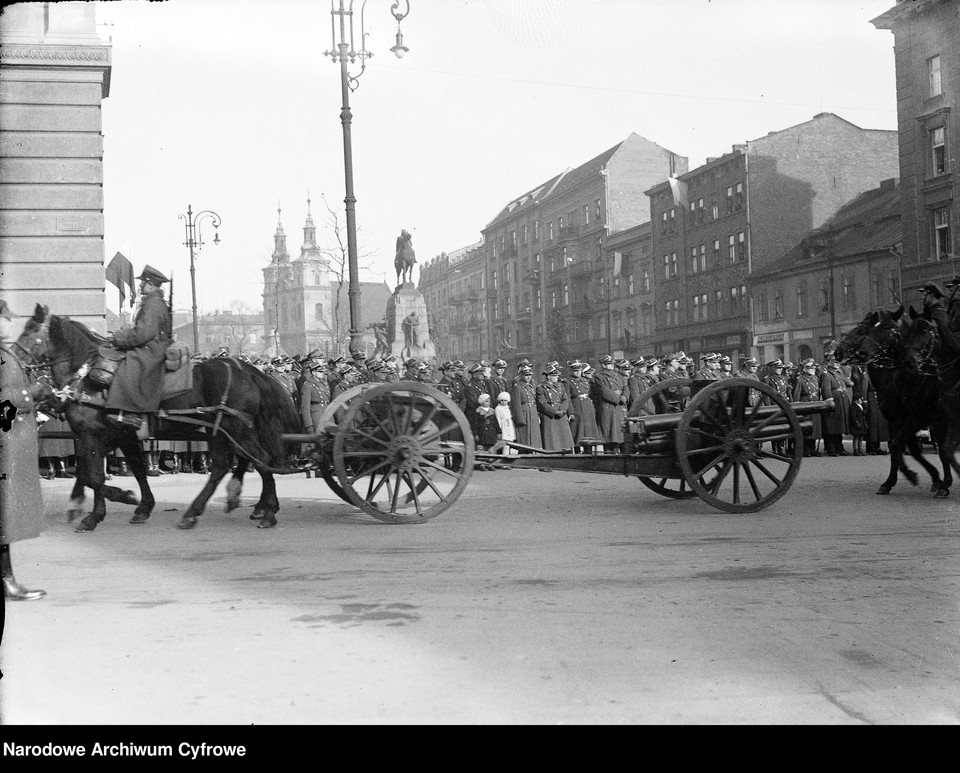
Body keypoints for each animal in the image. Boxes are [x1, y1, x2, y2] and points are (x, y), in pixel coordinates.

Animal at [15, 306, 300, 532]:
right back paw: (202, 511)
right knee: (226, 466)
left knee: (259, 460)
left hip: (235, 428)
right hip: (220, 431)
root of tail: (249, 370)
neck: (86, 378)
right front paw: (136, 505)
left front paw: (99, 512)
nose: (14, 358)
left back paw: (266, 511)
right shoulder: (117, 436)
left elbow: (94, 476)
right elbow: (125, 470)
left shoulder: (92, 435)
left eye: (30, 331)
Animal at [832, 306, 952, 494]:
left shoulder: (920, 418)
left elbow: (904, 446)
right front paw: (893, 480)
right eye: (868, 329)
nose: (837, 352)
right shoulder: (897, 421)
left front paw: (933, 479)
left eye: (863, 330)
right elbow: (902, 448)